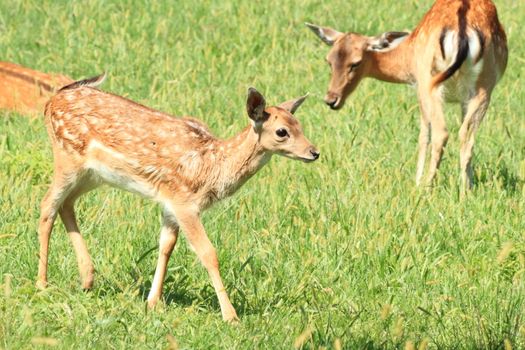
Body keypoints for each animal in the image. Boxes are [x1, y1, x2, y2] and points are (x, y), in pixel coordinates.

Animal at [36, 74, 320, 322]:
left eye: (300, 126)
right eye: (282, 131)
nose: (314, 152)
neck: (212, 168)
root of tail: (52, 101)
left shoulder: (169, 202)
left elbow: (166, 246)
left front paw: (152, 301)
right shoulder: (185, 203)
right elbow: (208, 253)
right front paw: (231, 316)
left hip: (93, 174)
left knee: (67, 204)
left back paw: (87, 278)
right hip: (67, 157)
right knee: (47, 205)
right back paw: (42, 283)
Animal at [304, 0, 506, 191]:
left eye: (356, 63)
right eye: (329, 60)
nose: (331, 100)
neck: (407, 59)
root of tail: (463, 32)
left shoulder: (419, 86)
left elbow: (423, 136)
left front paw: (416, 182)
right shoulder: (465, 99)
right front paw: (469, 185)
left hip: (430, 83)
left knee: (441, 133)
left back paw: (426, 188)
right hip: (484, 87)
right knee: (467, 135)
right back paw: (464, 193)